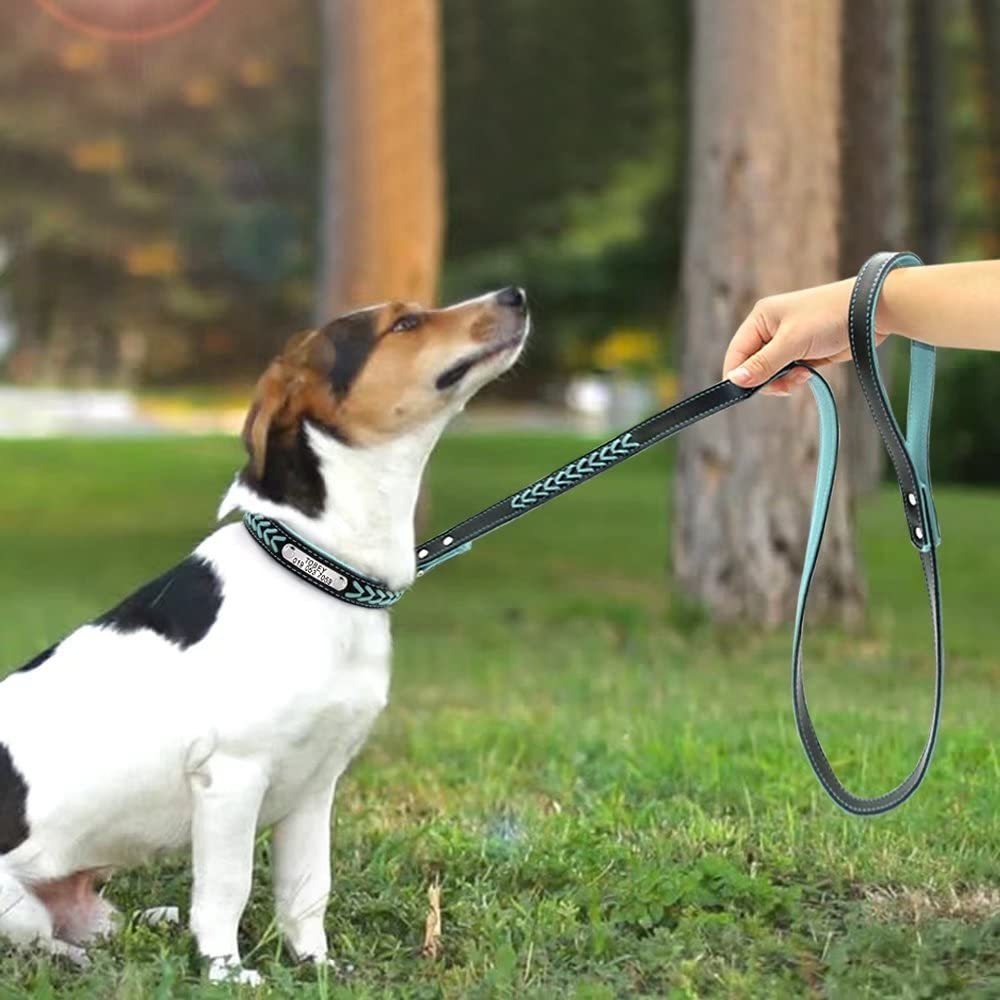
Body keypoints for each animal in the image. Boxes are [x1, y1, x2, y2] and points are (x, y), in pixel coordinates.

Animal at [0, 286, 532, 980]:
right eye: (405, 323)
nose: (516, 295)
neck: (315, 570)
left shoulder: (316, 784)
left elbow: (307, 889)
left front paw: (317, 965)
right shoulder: (233, 777)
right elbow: (228, 887)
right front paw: (225, 970)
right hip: (16, 905)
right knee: (40, 939)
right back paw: (81, 955)